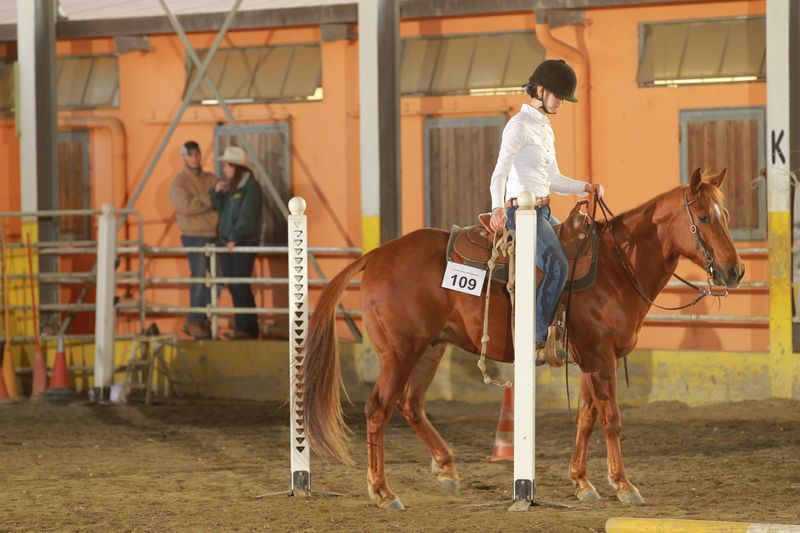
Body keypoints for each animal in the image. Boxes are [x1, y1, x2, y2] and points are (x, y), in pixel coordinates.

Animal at [301, 168, 744, 509]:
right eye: (703, 217)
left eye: (725, 214)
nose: (735, 271)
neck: (618, 267)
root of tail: (375, 255)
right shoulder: (601, 359)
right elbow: (611, 420)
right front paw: (624, 485)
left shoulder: (590, 360)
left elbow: (586, 418)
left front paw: (583, 483)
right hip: (400, 351)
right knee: (378, 409)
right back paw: (383, 492)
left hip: (430, 348)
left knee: (410, 404)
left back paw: (446, 469)